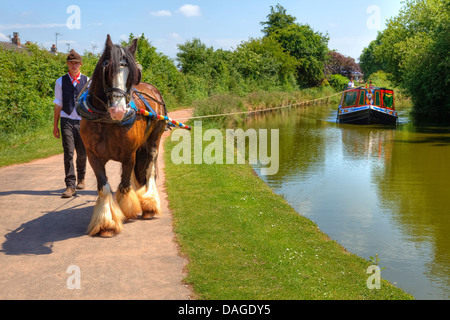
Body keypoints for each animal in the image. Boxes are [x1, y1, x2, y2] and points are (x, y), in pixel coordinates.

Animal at [80, 35, 166, 238]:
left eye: (132, 75)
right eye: (107, 69)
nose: (118, 110)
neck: (105, 121)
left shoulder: (129, 156)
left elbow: (125, 186)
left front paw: (126, 210)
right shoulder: (93, 156)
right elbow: (104, 188)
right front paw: (106, 224)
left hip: (154, 141)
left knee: (149, 170)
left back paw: (149, 205)